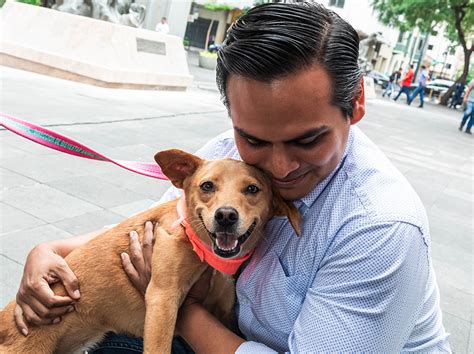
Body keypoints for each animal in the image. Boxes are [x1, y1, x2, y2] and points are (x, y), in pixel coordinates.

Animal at [0, 148, 300, 352]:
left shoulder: (222, 310)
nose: (226, 215)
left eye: (252, 189)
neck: (203, 252)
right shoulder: (162, 299)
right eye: (207, 185)